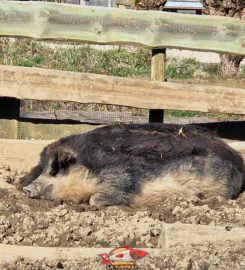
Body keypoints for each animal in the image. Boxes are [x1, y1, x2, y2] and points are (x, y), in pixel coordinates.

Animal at [19, 123, 245, 206]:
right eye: (43, 167)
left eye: (55, 168)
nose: (27, 189)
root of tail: (238, 160)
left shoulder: (123, 178)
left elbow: (95, 199)